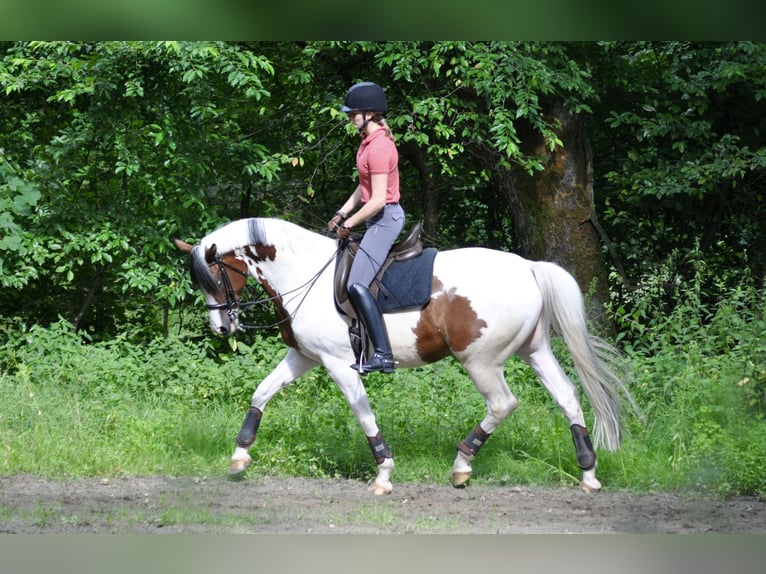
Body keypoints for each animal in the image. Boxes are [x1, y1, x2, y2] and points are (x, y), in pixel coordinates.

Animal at [173, 217, 635, 495]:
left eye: (216, 276)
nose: (222, 329)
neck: (302, 273)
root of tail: (527, 267)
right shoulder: (305, 356)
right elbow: (261, 393)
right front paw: (239, 457)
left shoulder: (339, 363)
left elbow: (364, 416)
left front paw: (383, 473)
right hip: (534, 349)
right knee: (568, 397)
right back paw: (588, 473)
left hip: (481, 360)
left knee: (503, 403)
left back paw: (462, 464)